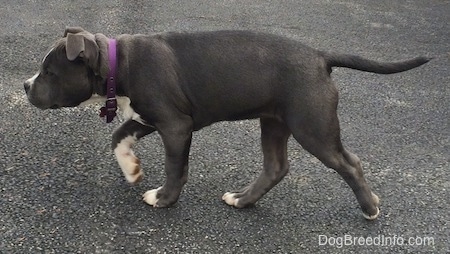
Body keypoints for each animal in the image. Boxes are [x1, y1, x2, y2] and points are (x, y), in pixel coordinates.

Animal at [23, 26, 428, 219]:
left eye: (49, 72)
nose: (25, 86)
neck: (117, 62)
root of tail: (319, 56)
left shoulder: (176, 126)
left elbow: (175, 168)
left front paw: (164, 198)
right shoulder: (150, 117)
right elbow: (119, 135)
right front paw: (132, 169)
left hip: (312, 125)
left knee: (349, 163)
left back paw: (370, 207)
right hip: (274, 122)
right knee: (276, 166)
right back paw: (242, 199)